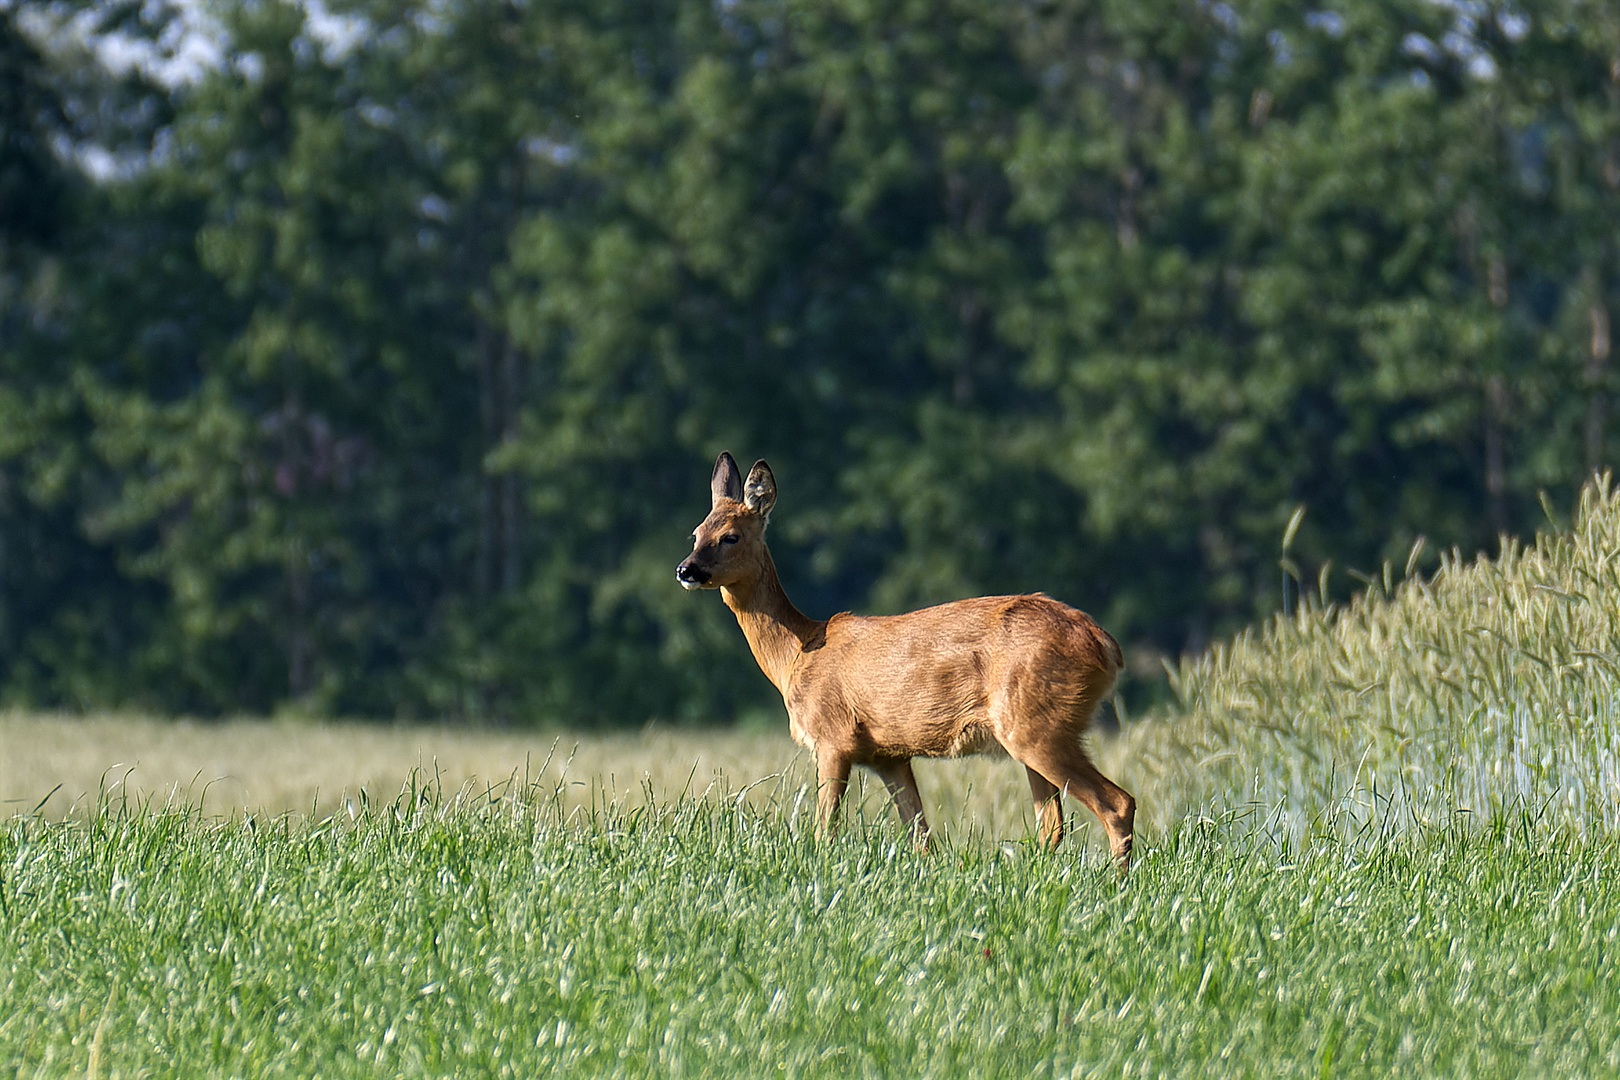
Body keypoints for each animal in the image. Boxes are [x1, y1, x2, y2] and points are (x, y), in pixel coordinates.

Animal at [673, 453, 1140, 867]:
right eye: (695, 533)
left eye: (731, 536)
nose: (685, 570)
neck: (797, 655)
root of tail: (1104, 644)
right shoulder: (890, 755)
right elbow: (921, 836)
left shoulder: (833, 736)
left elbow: (826, 829)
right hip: (1034, 730)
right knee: (1052, 826)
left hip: (1038, 723)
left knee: (1117, 803)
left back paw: (1116, 884)